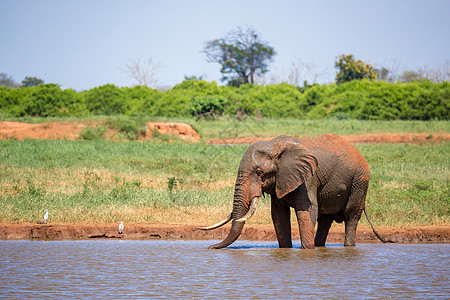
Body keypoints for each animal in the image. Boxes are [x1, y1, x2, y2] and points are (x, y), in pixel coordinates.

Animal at [201, 135, 386, 250]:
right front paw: (286, 250)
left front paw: (307, 251)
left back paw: (347, 246)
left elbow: (307, 212)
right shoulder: (280, 180)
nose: (210, 247)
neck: (274, 146)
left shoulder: (307, 179)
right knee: (325, 219)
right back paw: (320, 246)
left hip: (360, 181)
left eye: (259, 172)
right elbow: (278, 215)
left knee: (351, 216)